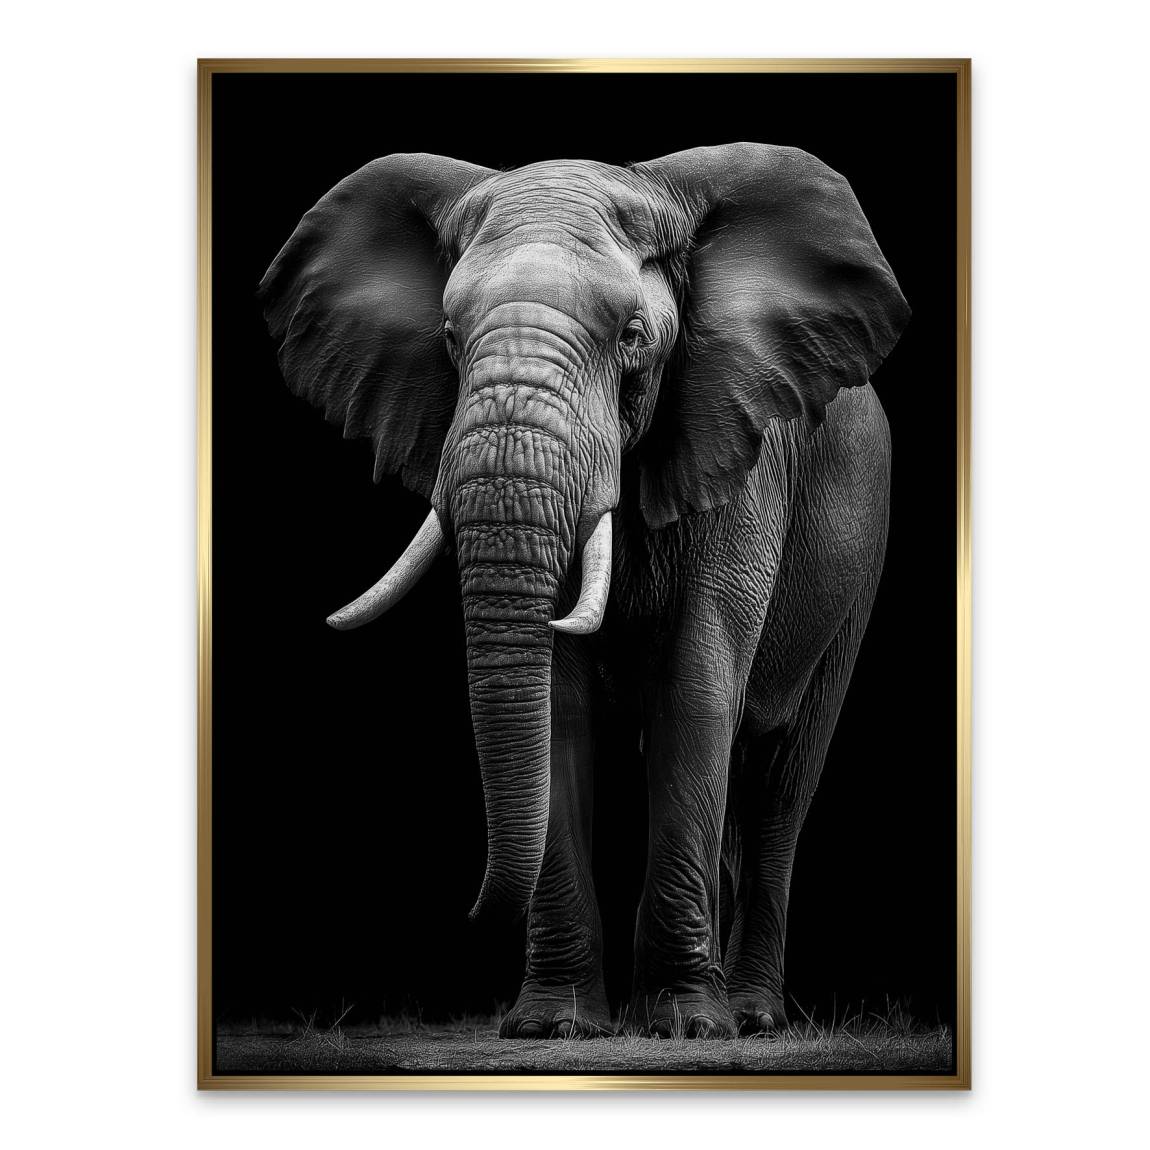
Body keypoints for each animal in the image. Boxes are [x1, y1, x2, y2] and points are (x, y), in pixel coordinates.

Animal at [260, 143, 909, 1039]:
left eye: (633, 337)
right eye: (450, 339)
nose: (463, 912)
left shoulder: (736, 452)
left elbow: (697, 687)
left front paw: (686, 1027)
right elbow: (558, 706)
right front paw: (553, 1026)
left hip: (860, 550)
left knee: (780, 777)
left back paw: (749, 1015)